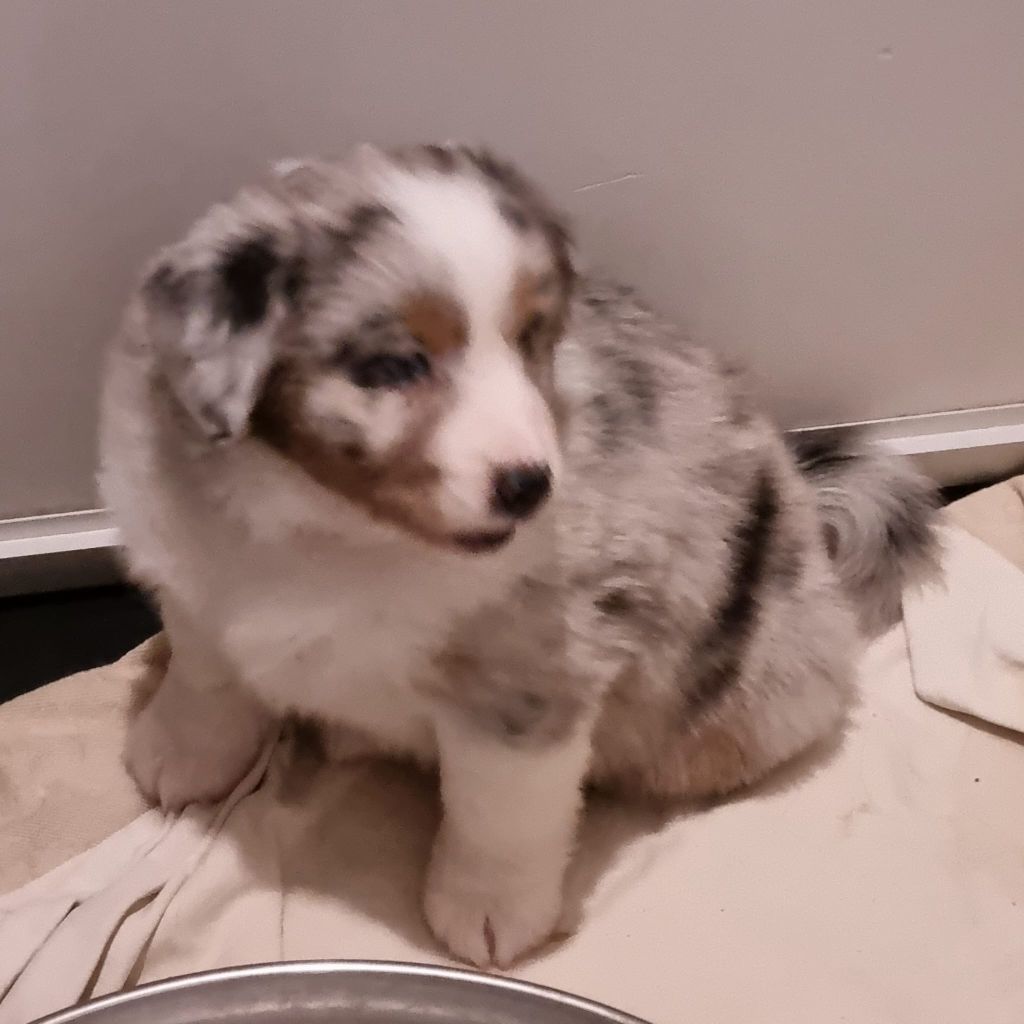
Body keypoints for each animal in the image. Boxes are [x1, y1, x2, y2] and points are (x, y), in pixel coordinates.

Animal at [99, 143, 939, 968]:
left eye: (531, 341)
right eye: (395, 366)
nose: (531, 487)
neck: (330, 525)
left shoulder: (528, 683)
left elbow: (500, 812)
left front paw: (488, 912)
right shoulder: (195, 578)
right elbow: (206, 675)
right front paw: (178, 756)